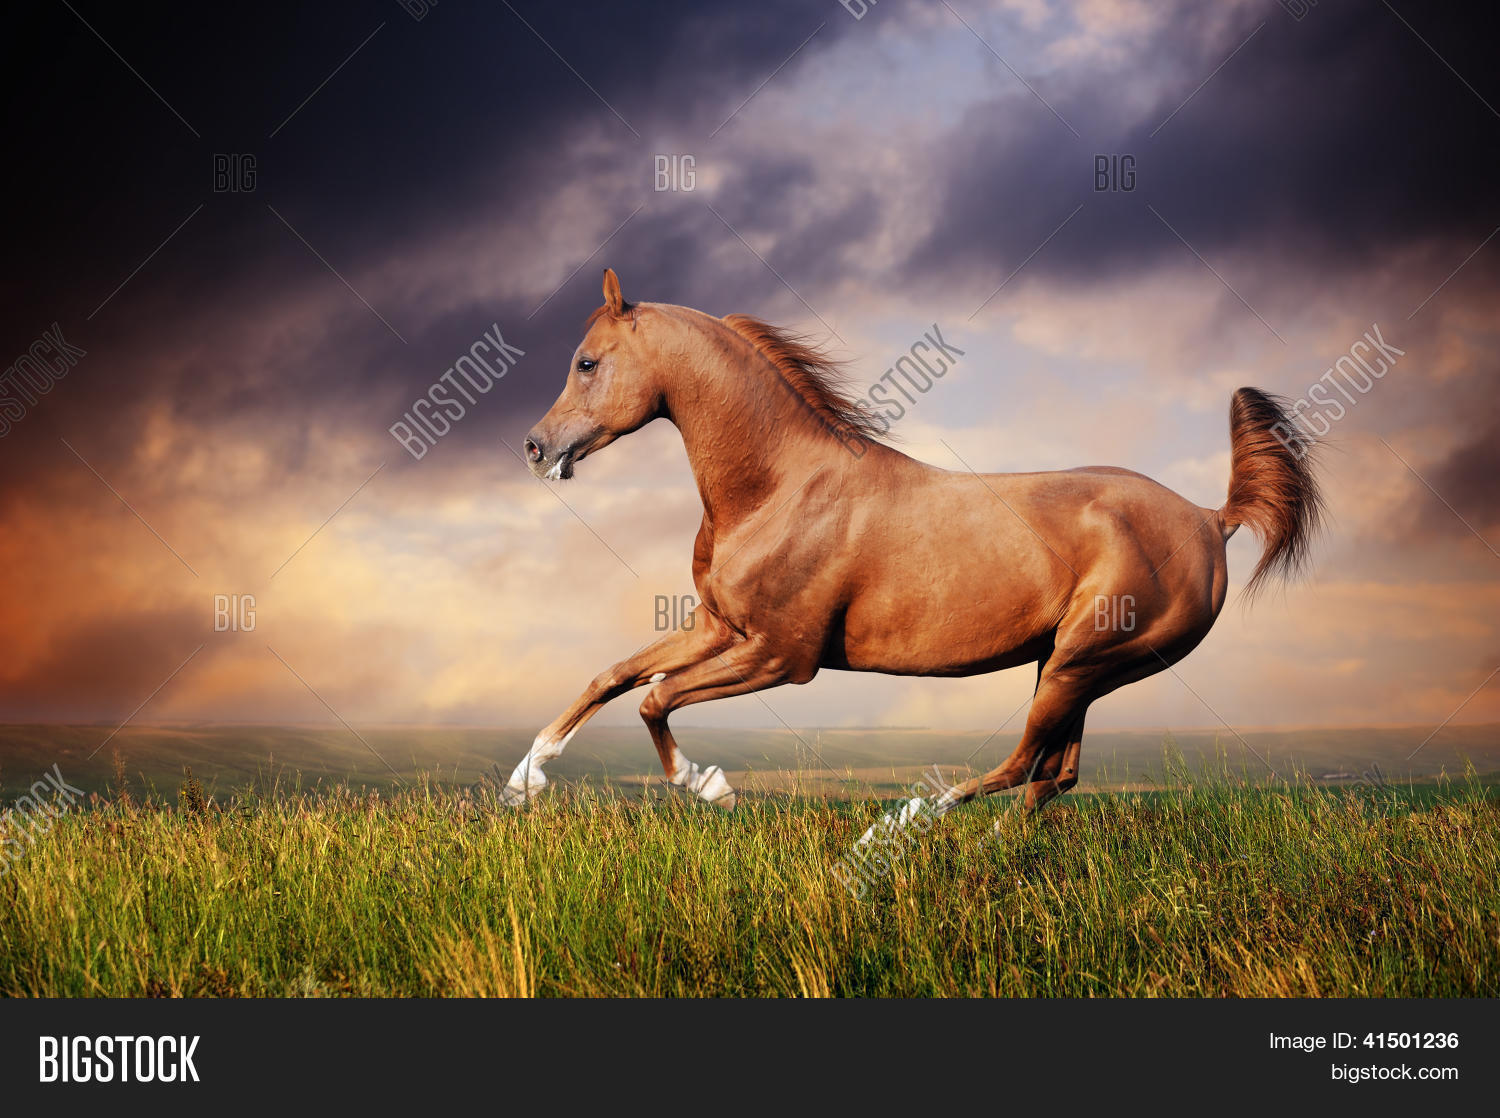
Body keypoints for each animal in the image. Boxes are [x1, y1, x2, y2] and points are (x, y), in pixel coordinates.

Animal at [502, 268, 1321, 813]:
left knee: (1021, 766)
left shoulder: (781, 657)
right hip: (1073, 668)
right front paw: (524, 780)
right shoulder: (717, 628)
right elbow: (612, 678)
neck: (779, 487)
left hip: (1082, 664)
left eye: (586, 362)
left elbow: (656, 699)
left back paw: (908, 822)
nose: (537, 448)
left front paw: (709, 786)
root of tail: (1210, 518)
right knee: (1053, 777)